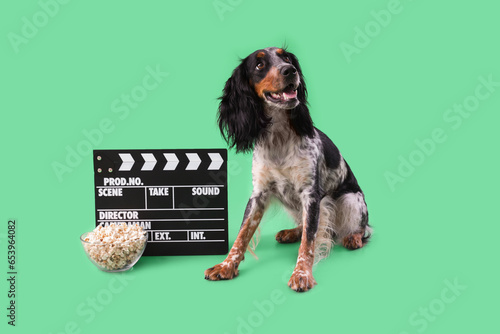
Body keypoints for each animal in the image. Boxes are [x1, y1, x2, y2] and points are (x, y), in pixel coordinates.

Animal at [203, 47, 372, 292]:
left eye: (286, 57)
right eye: (259, 65)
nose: (290, 70)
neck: (279, 137)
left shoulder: (311, 195)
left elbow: (308, 242)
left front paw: (302, 274)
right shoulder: (259, 194)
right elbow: (242, 234)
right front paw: (226, 265)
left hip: (350, 199)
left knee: (360, 228)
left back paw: (353, 237)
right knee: (309, 226)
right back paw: (291, 233)